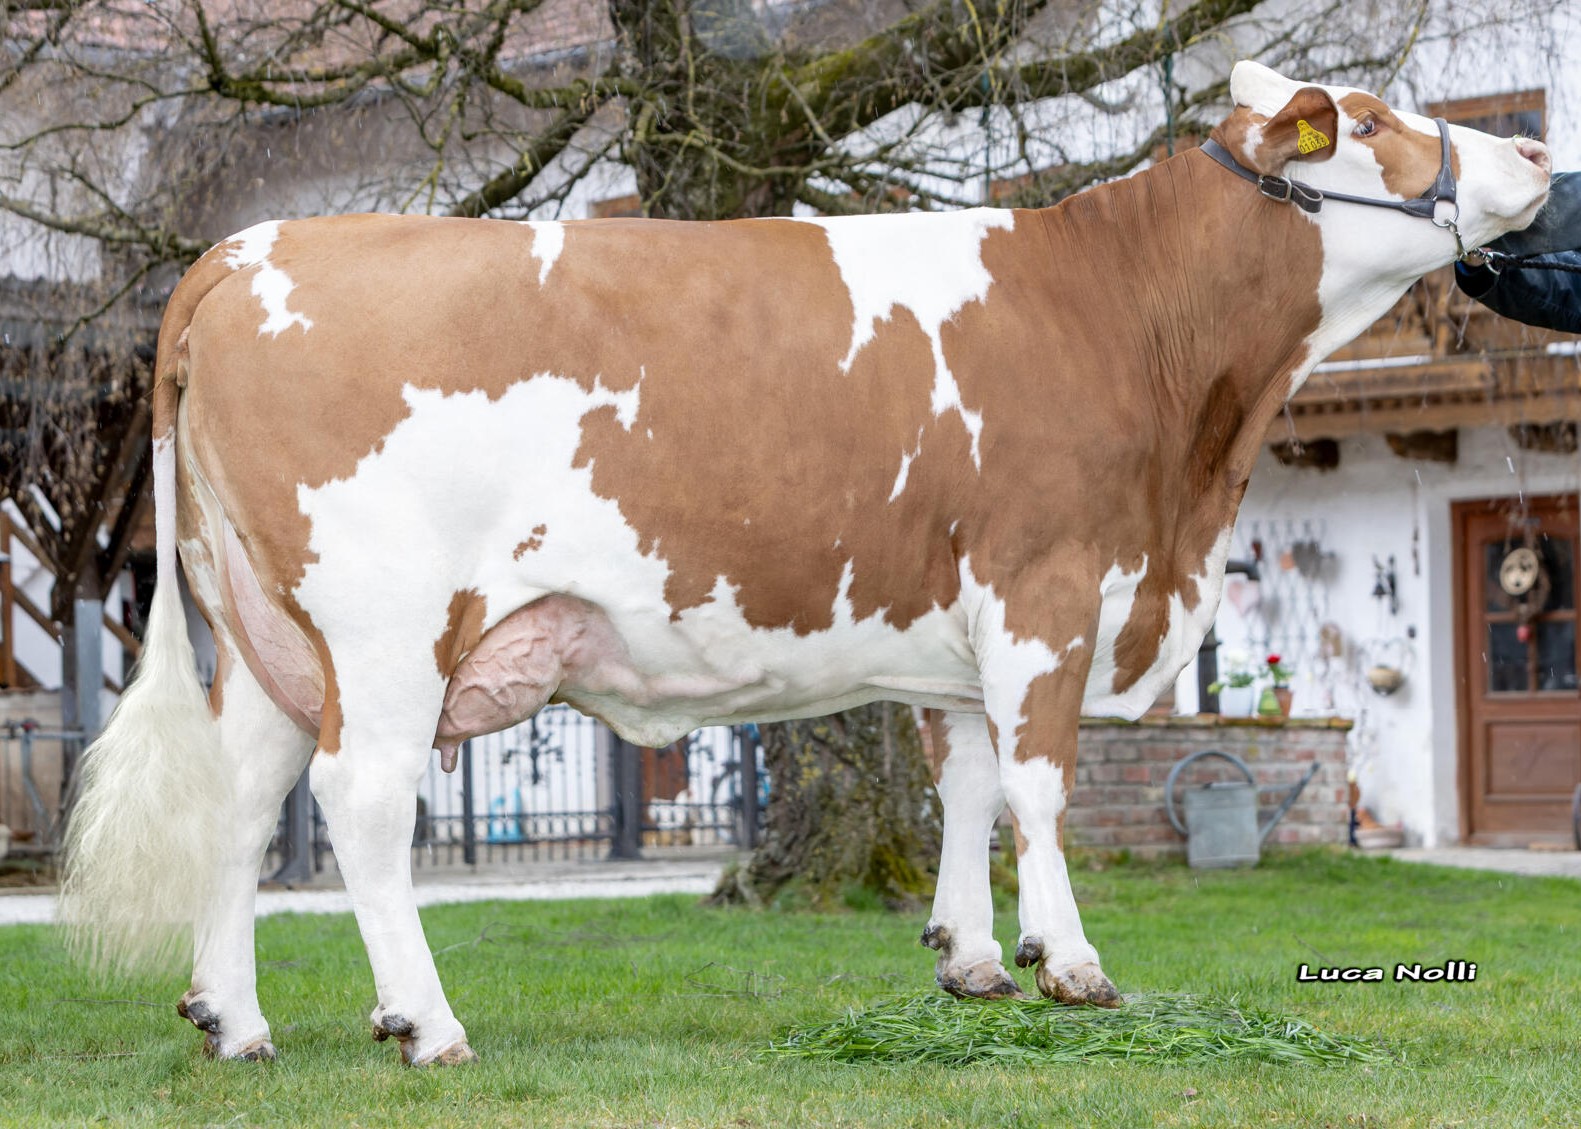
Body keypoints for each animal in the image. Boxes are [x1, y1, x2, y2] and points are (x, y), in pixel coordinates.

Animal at [61, 60, 1550, 1066]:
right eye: (1369, 122)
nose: (1537, 158)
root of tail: (250, 246)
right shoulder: (1047, 585)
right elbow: (1039, 784)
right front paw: (1070, 964)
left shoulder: (965, 622)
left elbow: (963, 783)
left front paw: (974, 961)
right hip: (383, 627)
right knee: (361, 804)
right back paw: (426, 1022)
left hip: (271, 634)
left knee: (244, 803)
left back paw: (235, 1020)